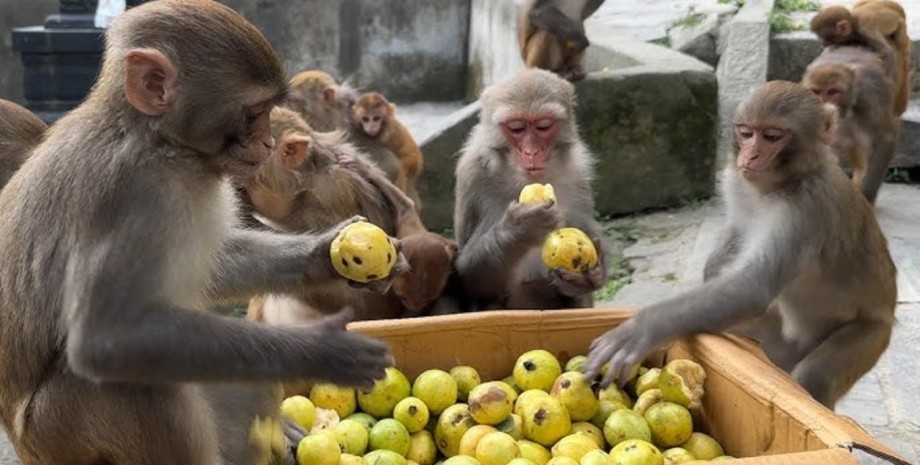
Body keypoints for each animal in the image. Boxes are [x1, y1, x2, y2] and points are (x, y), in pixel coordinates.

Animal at [0, 0, 396, 464]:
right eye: (254, 112)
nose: (266, 144)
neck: (159, 143)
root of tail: (24, 443)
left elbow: (212, 264)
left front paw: (322, 257)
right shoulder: (128, 194)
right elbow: (106, 336)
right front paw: (322, 351)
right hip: (56, 435)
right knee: (131, 384)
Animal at [584, 80, 896, 410]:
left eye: (772, 136)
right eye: (746, 133)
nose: (750, 156)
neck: (780, 184)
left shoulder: (806, 211)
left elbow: (751, 288)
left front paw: (643, 327)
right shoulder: (736, 180)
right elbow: (736, 235)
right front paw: (710, 272)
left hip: (871, 335)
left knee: (816, 374)